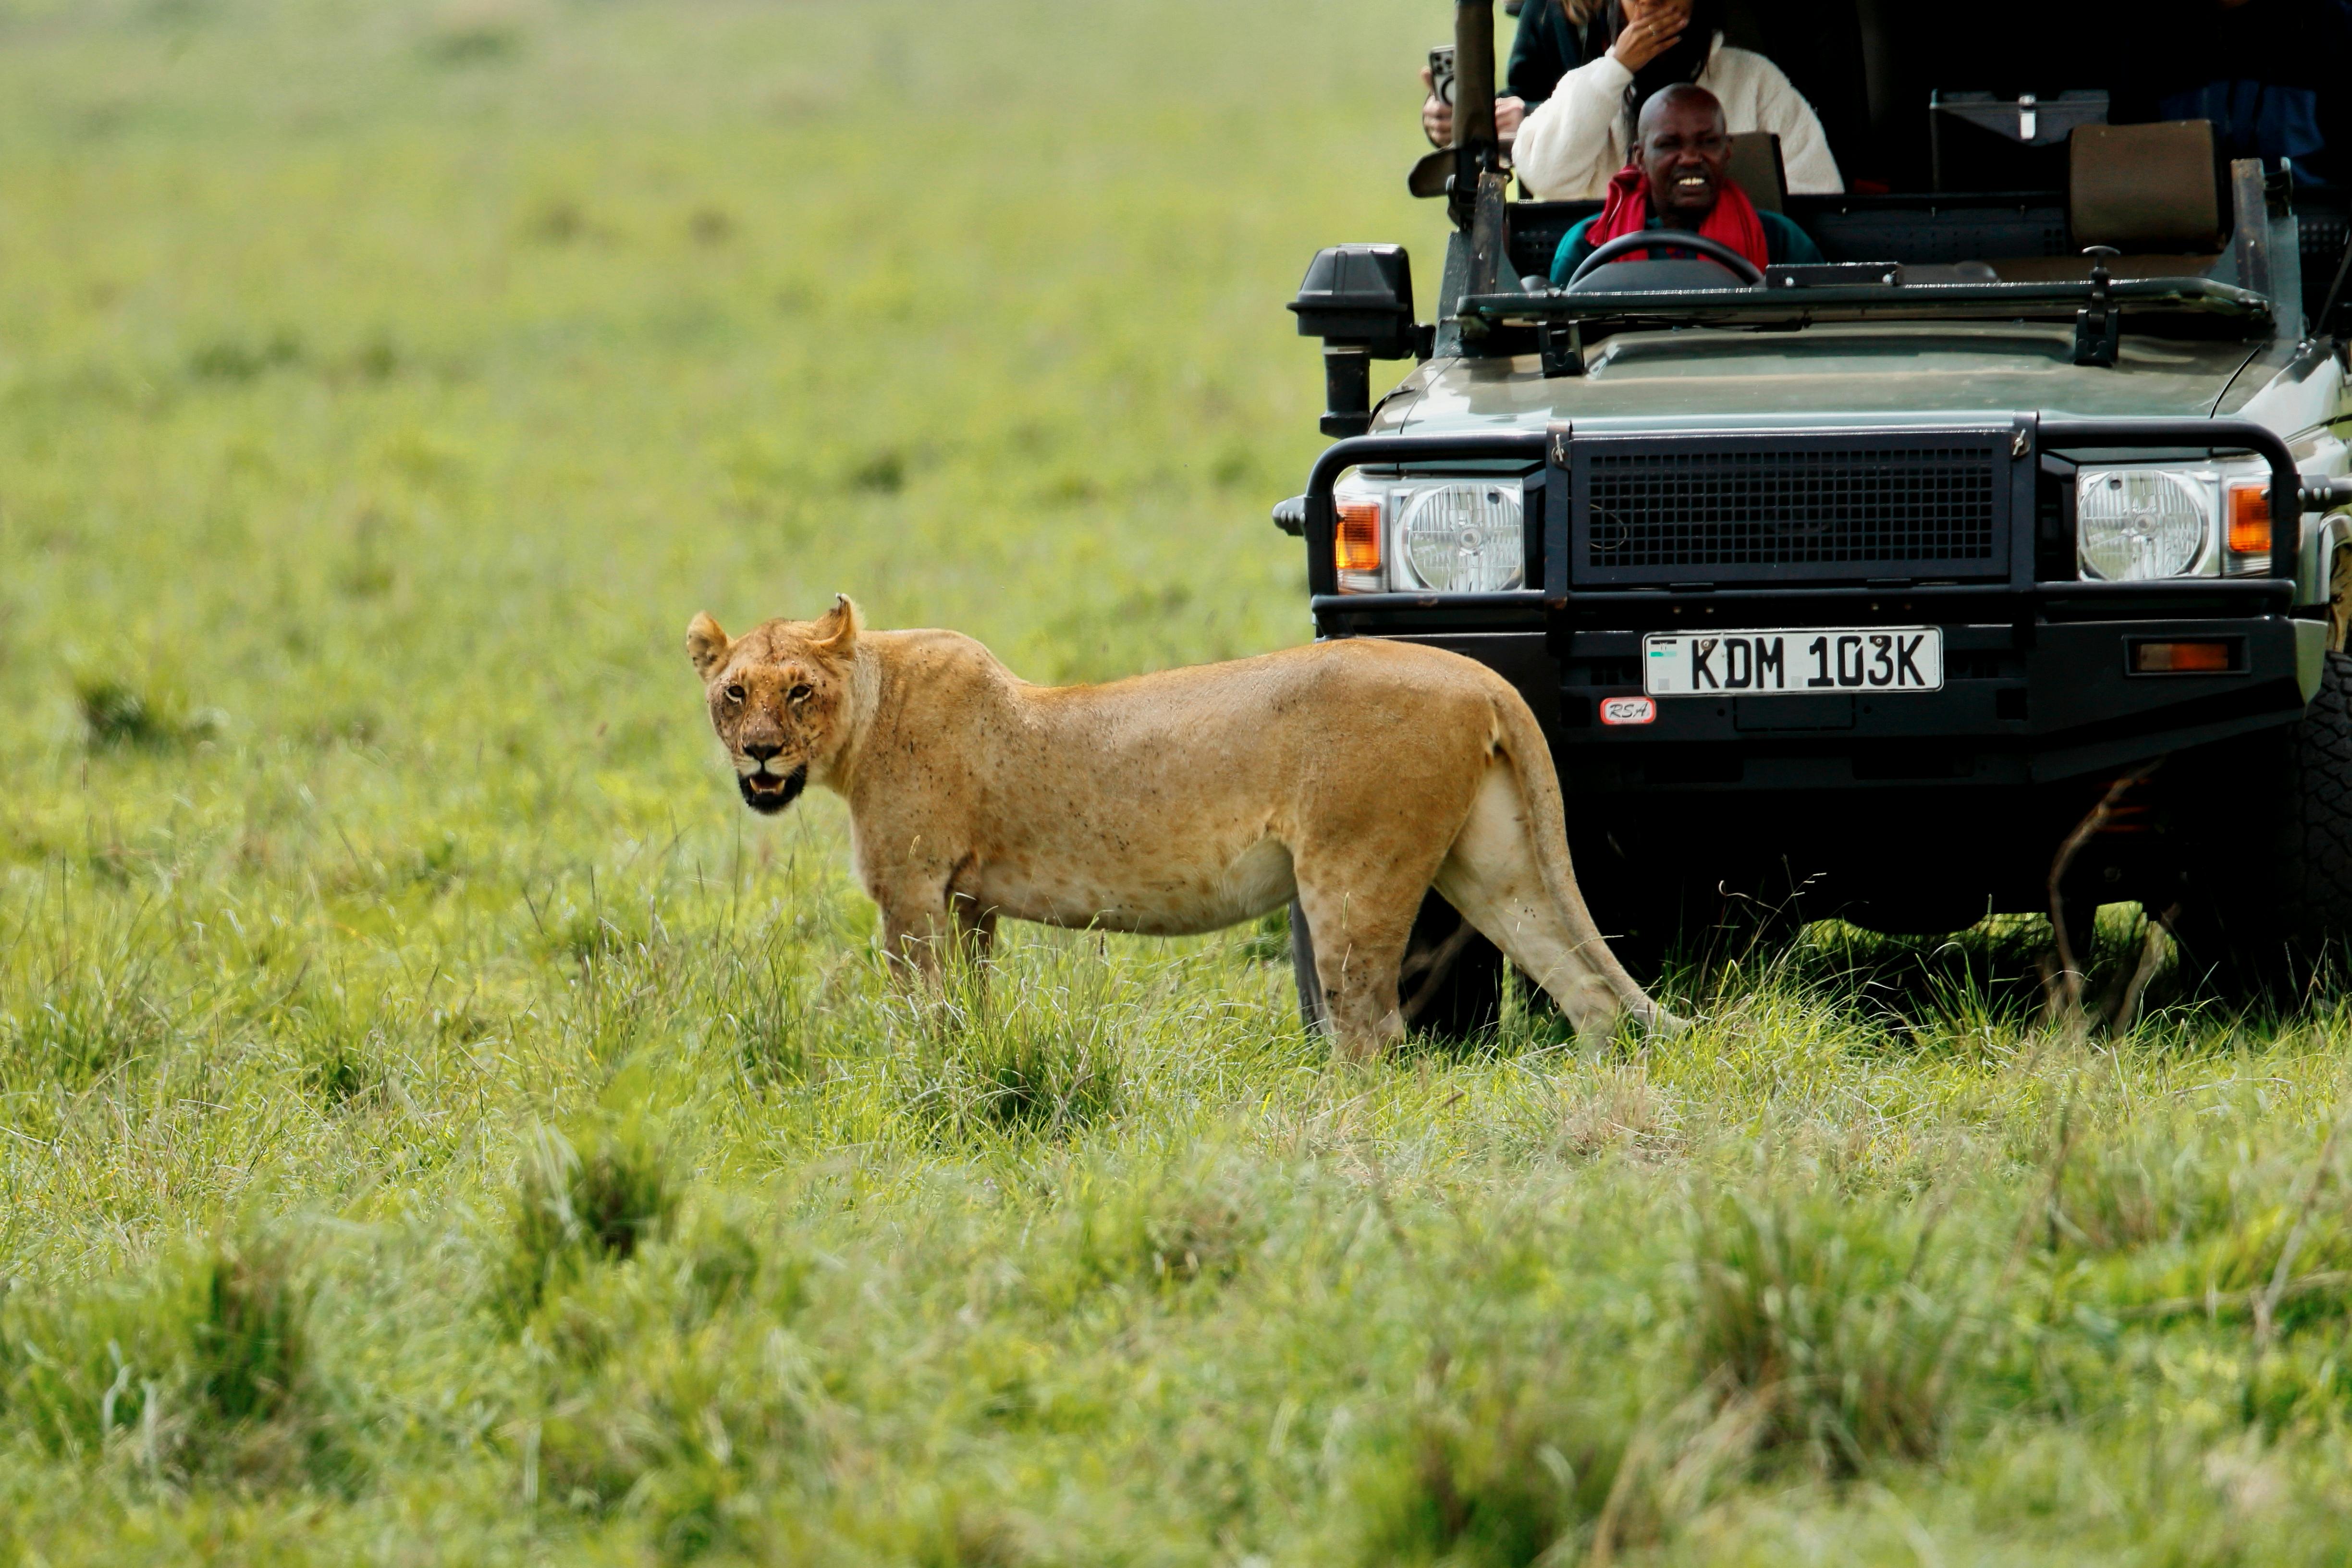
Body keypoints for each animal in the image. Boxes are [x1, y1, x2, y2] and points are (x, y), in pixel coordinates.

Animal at [686, 596, 1677, 1056]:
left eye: (799, 690)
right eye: (734, 691)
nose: (762, 752)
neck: (865, 713)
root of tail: (1481, 675)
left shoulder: (912, 890)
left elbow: (918, 1011)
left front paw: (917, 1079)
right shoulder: (968, 899)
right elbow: (968, 1007)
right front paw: (968, 1065)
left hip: (1352, 872)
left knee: (1370, 1023)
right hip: (1491, 860)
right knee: (1584, 987)